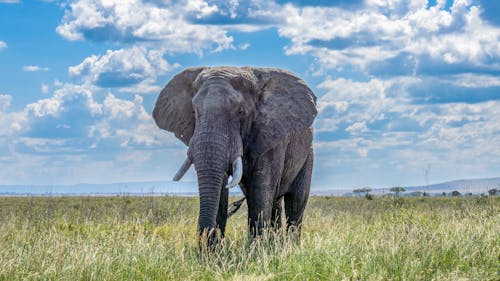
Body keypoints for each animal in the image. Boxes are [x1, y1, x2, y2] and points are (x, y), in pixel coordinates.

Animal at [152, 65, 316, 245]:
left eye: (241, 112)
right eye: (194, 112)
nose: (208, 245)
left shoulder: (271, 135)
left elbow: (260, 192)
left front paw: (256, 250)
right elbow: (222, 192)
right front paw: (217, 251)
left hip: (308, 152)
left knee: (296, 199)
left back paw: (290, 245)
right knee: (275, 202)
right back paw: (277, 244)